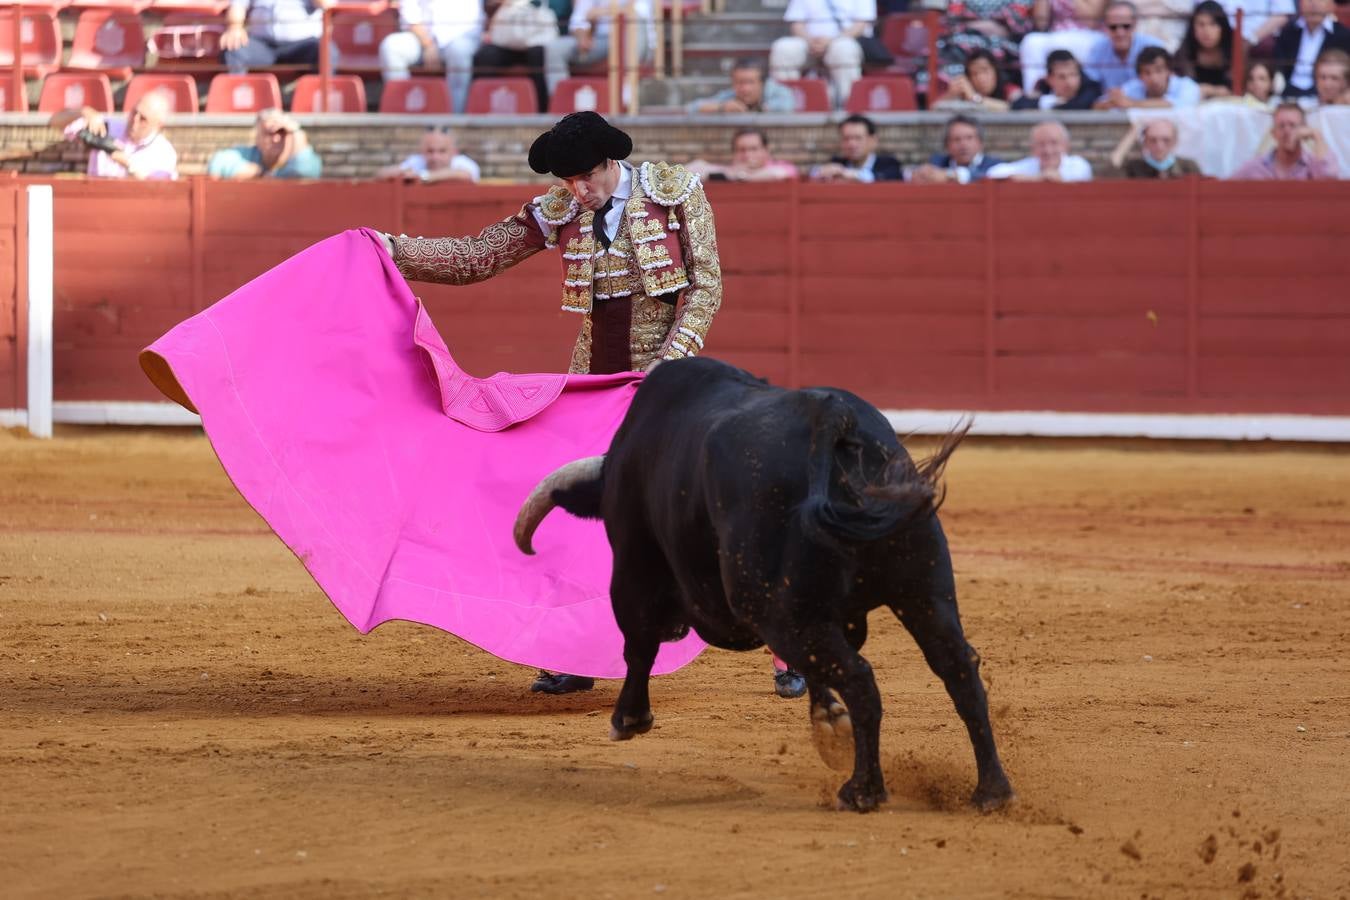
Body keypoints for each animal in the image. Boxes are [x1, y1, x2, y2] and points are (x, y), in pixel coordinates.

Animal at [515, 358, 1015, 814]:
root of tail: (833, 418)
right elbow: (821, 671)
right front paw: (829, 722)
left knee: (861, 679)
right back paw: (991, 792)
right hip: (923, 589)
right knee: (958, 667)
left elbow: (638, 645)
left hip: (777, 609)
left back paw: (863, 791)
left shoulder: (634, 567)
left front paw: (628, 719)